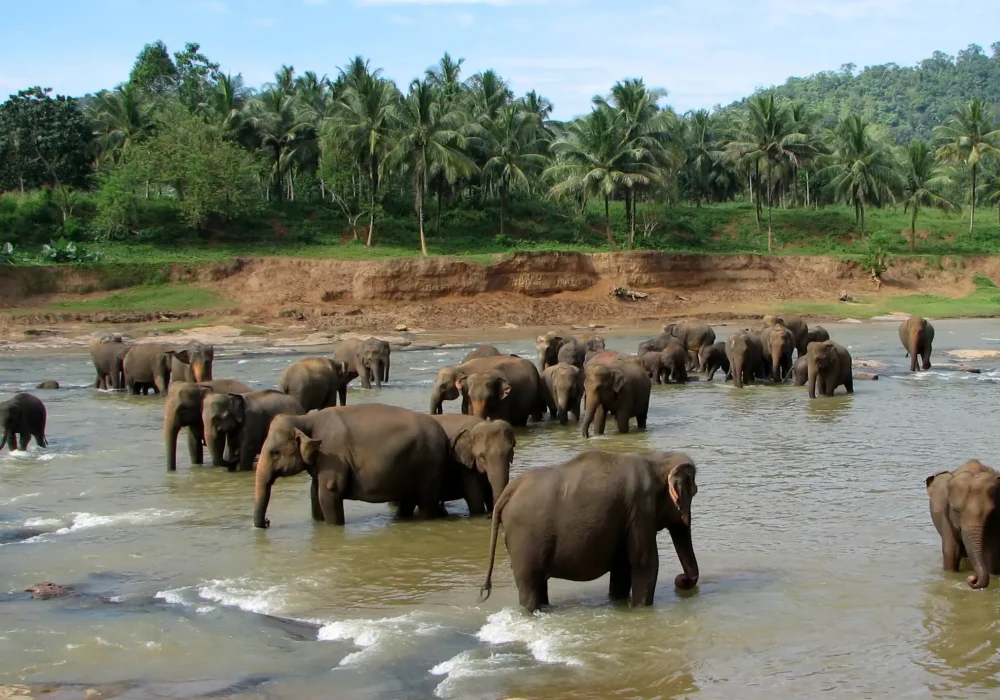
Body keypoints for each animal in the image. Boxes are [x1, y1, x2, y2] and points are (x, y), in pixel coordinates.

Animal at [253, 404, 451, 528]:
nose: (268, 521)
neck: (305, 419)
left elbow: (328, 492)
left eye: (275, 452)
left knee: (425, 503)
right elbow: (314, 493)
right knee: (407, 502)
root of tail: (443, 433)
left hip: (430, 466)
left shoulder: (333, 454)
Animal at [480, 449, 699, 612]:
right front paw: (641, 609)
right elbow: (645, 564)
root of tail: (510, 489)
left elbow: (622, 568)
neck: (657, 459)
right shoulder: (641, 510)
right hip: (525, 539)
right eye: (694, 492)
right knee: (530, 585)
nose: (681, 579)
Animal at [927, 460, 1000, 590]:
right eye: (956, 511)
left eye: (991, 512)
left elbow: (991, 554)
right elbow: (951, 551)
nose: (972, 578)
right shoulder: (945, 516)